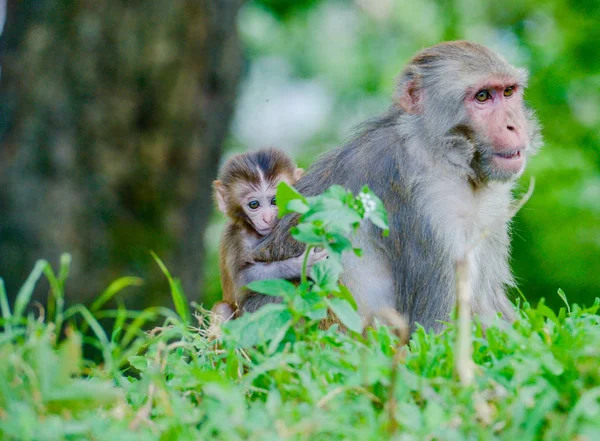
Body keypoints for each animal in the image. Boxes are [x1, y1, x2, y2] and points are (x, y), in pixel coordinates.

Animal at [212, 148, 326, 320]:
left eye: (275, 200)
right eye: (254, 204)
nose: (268, 218)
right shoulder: (235, 238)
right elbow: (243, 279)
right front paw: (303, 264)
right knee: (223, 308)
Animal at [244, 41, 544, 330]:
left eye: (508, 92)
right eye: (482, 96)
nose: (513, 125)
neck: (444, 152)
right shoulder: (427, 200)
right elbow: (435, 324)